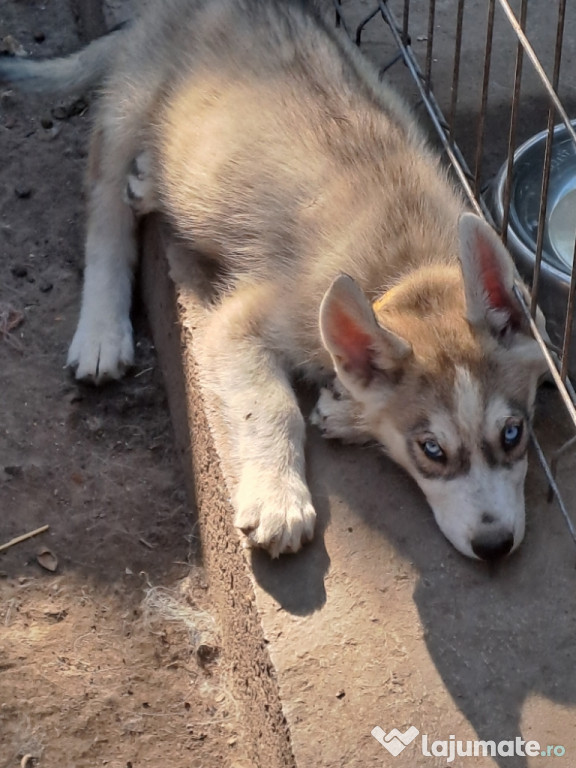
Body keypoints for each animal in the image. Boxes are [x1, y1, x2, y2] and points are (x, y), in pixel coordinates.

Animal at [0, 0, 548, 560]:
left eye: (513, 433)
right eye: (432, 450)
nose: (495, 545)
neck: (405, 266)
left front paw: (345, 411)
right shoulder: (240, 322)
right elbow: (271, 406)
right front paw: (278, 500)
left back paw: (151, 179)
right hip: (129, 106)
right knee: (106, 211)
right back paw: (101, 332)